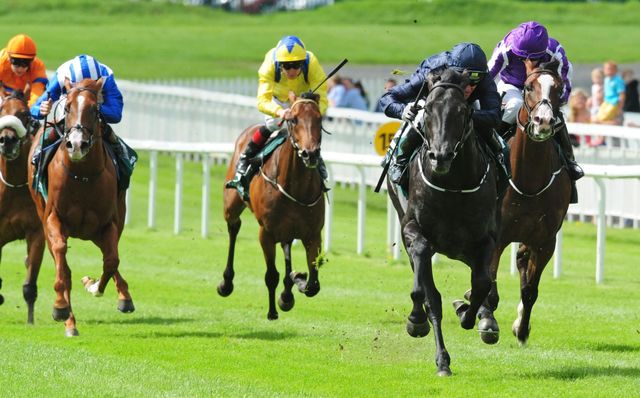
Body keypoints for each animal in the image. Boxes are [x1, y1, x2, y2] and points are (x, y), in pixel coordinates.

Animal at [26, 78, 134, 336]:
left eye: (95, 110)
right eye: (66, 108)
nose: (76, 145)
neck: (82, 176)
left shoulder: (108, 223)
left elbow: (111, 260)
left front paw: (94, 286)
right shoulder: (53, 219)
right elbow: (62, 264)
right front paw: (60, 308)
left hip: (102, 227)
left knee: (108, 256)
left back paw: (123, 296)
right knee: (63, 264)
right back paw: (69, 320)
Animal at [220, 93, 328, 320]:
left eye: (319, 119)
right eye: (293, 119)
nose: (310, 154)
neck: (295, 186)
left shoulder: (313, 234)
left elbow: (313, 284)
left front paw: (296, 280)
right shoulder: (266, 233)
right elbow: (271, 275)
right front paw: (272, 311)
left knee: (286, 247)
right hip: (231, 206)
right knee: (234, 227)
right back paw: (226, 283)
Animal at [384, 70, 500, 378]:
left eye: (462, 111)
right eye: (427, 110)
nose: (440, 156)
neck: (453, 185)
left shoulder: (485, 240)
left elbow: (482, 282)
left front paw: (468, 313)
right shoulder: (413, 229)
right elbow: (428, 294)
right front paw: (419, 323)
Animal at [478, 59, 572, 346]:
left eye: (559, 87)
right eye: (529, 86)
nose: (543, 121)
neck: (529, 180)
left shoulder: (545, 241)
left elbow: (530, 290)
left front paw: (521, 329)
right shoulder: (497, 237)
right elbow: (490, 287)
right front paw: (487, 321)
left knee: (521, 263)